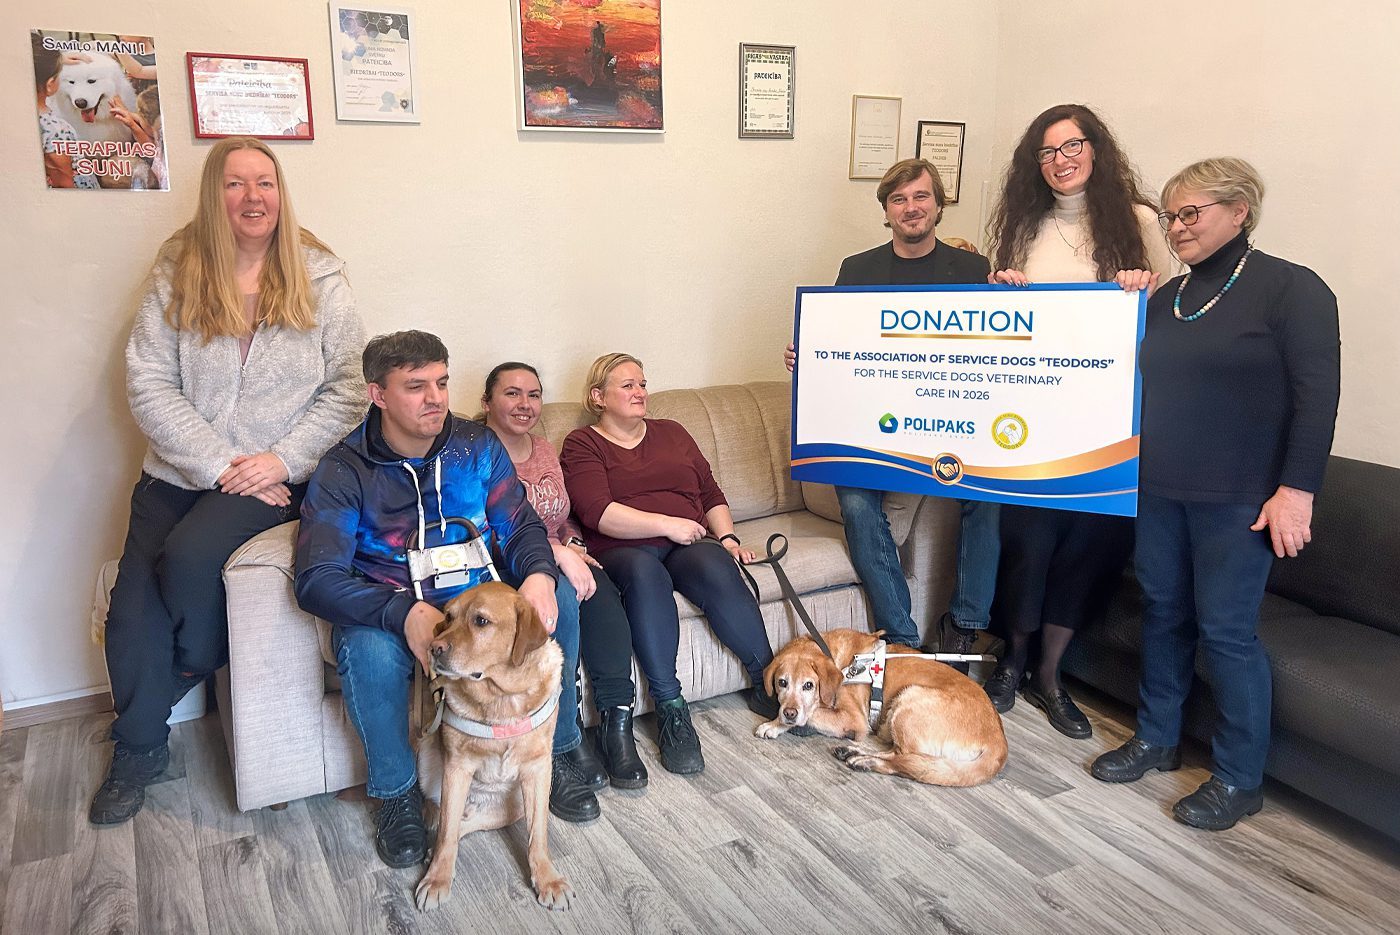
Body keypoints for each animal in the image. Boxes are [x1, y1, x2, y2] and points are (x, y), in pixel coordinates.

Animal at [414, 581, 573, 911]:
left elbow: (538, 834)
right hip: (427, 758)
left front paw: (547, 879)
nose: (434, 648)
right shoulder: (456, 767)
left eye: (481, 621)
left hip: (514, 805)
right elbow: (446, 834)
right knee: (446, 822)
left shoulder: (538, 769)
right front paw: (437, 879)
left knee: (466, 823)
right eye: (448, 617)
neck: (501, 695)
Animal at [755, 628, 1007, 787]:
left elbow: (813, 712)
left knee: (905, 761)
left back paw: (865, 760)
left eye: (809, 685)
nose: (789, 713)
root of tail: (999, 743)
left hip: (910, 699)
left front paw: (775, 723)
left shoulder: (853, 718)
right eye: (782, 683)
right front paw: (778, 722)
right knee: (902, 756)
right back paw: (854, 753)